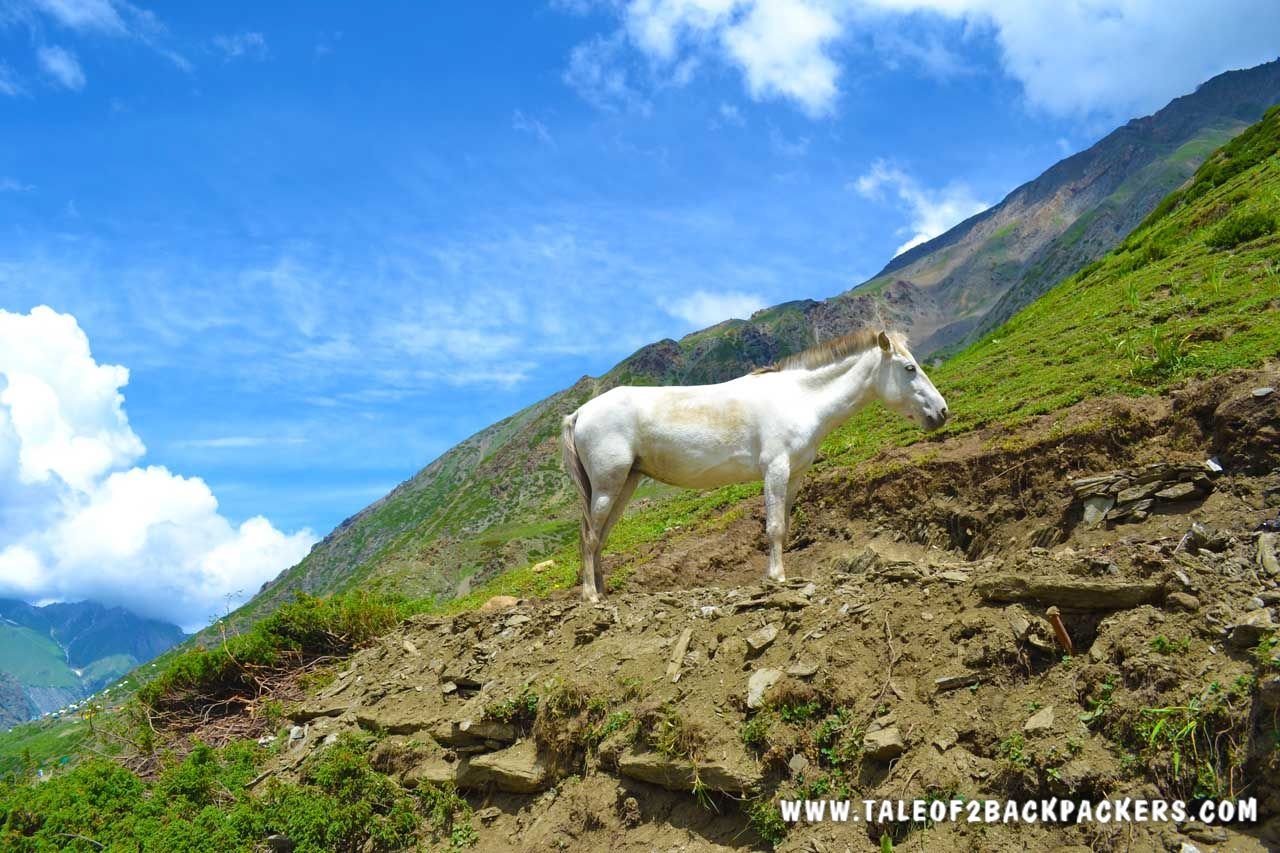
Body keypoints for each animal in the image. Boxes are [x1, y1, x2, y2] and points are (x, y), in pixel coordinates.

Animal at [563, 325, 952, 596]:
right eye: (909, 368)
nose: (942, 412)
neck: (801, 398)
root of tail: (580, 413)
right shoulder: (776, 470)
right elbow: (774, 527)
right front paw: (776, 577)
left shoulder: (795, 475)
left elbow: (786, 525)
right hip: (608, 485)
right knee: (589, 536)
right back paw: (591, 596)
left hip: (624, 484)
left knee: (600, 536)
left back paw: (602, 591)